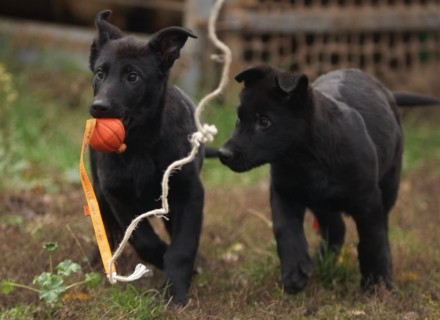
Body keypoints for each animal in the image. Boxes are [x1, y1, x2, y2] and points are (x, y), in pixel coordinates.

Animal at [88, 10, 205, 304]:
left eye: (133, 77)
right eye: (100, 73)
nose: (98, 107)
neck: (139, 146)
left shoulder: (190, 192)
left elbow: (183, 245)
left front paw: (175, 291)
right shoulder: (115, 194)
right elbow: (142, 239)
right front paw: (160, 259)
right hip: (98, 190)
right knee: (107, 227)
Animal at [218, 65, 438, 296]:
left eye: (264, 122)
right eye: (238, 119)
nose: (223, 154)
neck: (307, 159)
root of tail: (387, 92)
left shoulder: (367, 200)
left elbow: (371, 241)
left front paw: (377, 286)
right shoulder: (283, 192)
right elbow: (286, 230)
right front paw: (294, 273)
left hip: (388, 186)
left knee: (380, 228)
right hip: (322, 204)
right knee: (336, 229)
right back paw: (321, 261)